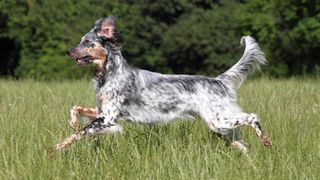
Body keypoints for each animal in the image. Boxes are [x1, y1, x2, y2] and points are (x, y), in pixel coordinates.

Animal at [51, 16, 272, 153]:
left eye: (88, 42)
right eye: (81, 40)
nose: (68, 51)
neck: (108, 73)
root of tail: (218, 80)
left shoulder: (108, 118)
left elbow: (79, 133)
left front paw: (54, 149)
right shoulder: (102, 112)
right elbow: (75, 109)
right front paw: (72, 121)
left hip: (218, 121)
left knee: (253, 117)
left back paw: (266, 141)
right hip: (220, 127)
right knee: (244, 144)